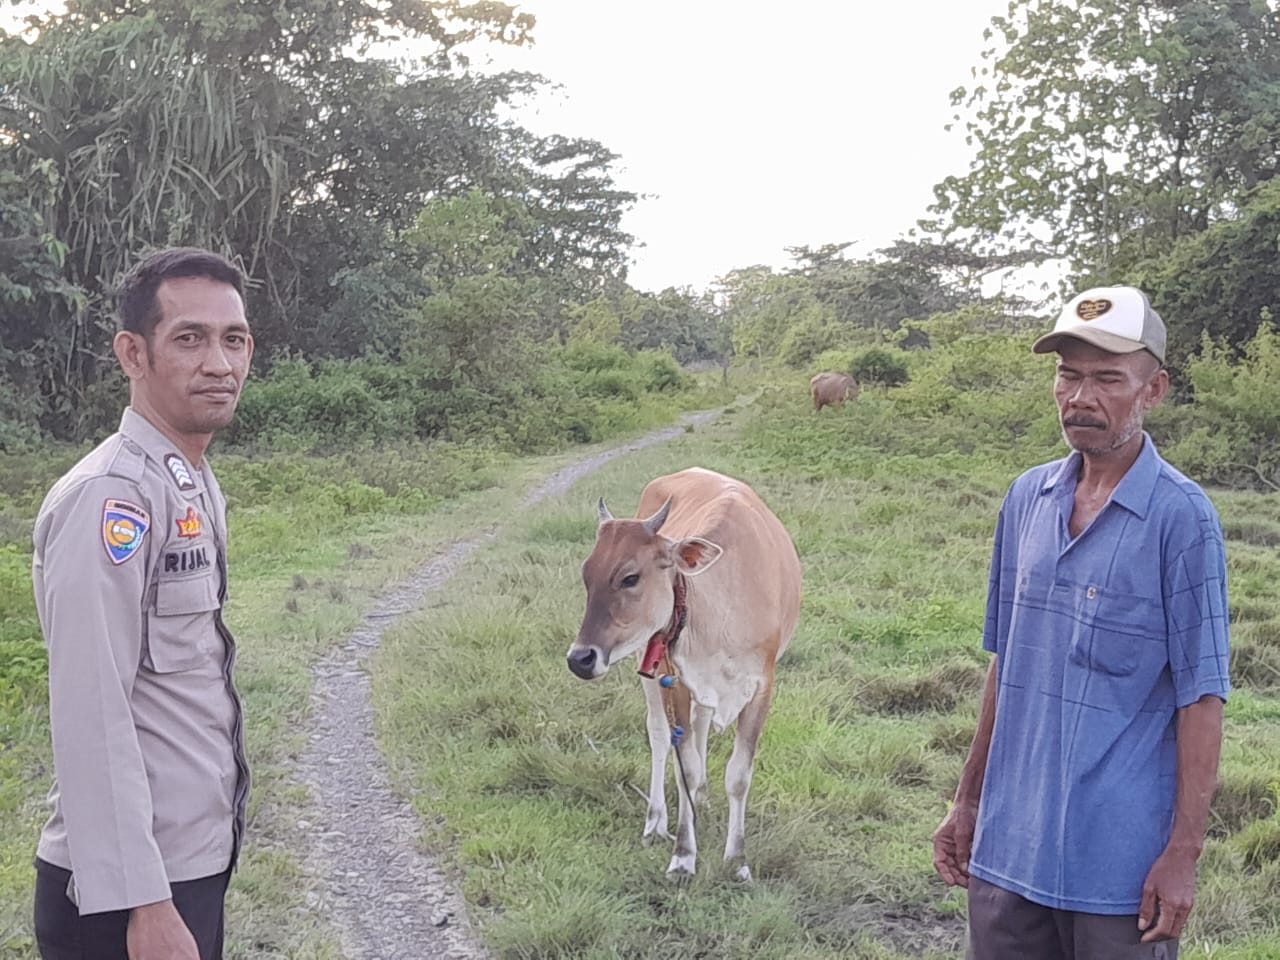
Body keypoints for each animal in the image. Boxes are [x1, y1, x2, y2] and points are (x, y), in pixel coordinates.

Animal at [566, 467, 802, 880]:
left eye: (630, 577)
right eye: (586, 574)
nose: (580, 658)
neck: (723, 613)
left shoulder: (762, 686)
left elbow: (738, 775)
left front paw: (737, 860)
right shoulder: (673, 679)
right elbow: (683, 769)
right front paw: (683, 855)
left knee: (702, 723)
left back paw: (703, 797)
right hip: (648, 665)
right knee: (660, 737)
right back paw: (656, 819)